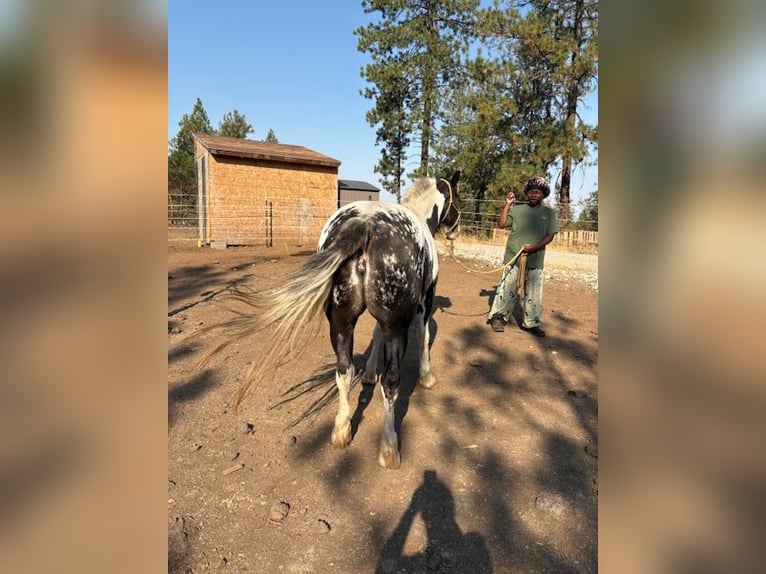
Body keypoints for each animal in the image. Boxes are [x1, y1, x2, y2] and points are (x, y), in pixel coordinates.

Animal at [227, 170, 461, 469]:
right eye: (458, 197)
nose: (456, 229)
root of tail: (367, 224)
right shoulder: (424, 300)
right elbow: (424, 336)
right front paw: (427, 376)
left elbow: (374, 336)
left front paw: (370, 373)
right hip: (395, 325)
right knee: (391, 381)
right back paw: (389, 447)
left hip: (341, 322)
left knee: (344, 370)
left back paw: (341, 430)